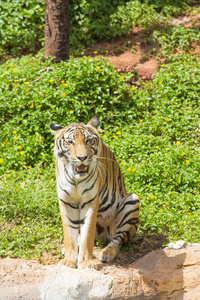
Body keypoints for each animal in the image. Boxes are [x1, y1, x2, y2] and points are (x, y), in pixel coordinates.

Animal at [50, 115, 139, 270]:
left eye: (88, 140)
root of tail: (104, 234)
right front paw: (68, 260)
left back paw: (106, 253)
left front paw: (86, 262)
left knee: (118, 240)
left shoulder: (90, 201)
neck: (76, 179)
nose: (82, 158)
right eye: (70, 142)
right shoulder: (66, 202)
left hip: (132, 201)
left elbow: (88, 234)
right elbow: (69, 234)